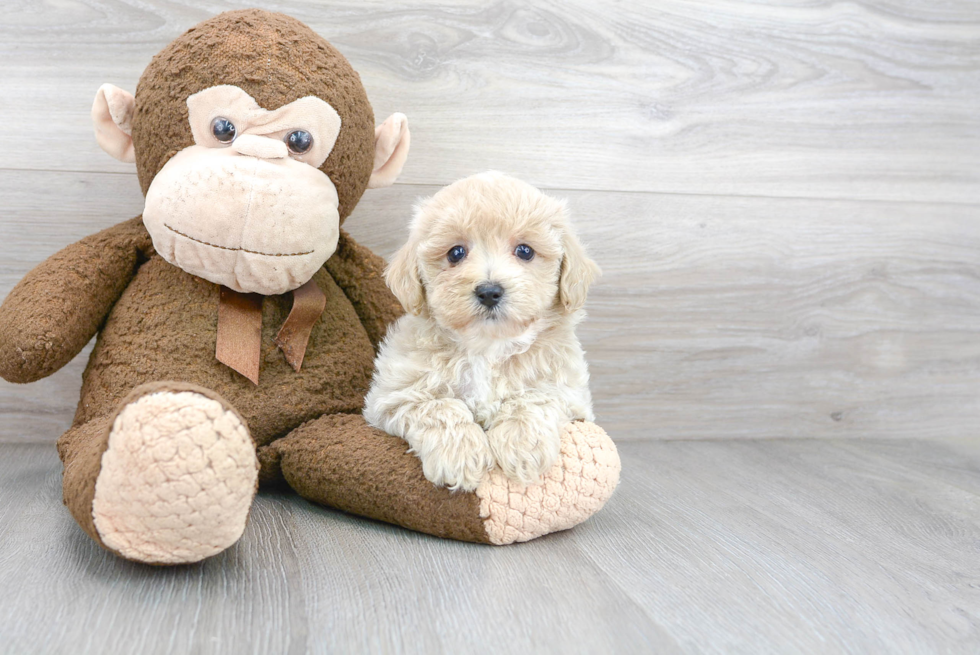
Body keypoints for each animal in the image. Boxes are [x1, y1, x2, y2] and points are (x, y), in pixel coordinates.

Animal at [364, 173, 600, 492]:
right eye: (455, 253)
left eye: (525, 251)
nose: (489, 291)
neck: (487, 347)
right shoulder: (392, 397)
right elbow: (439, 407)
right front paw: (459, 455)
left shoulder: (570, 394)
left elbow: (534, 399)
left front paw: (522, 445)